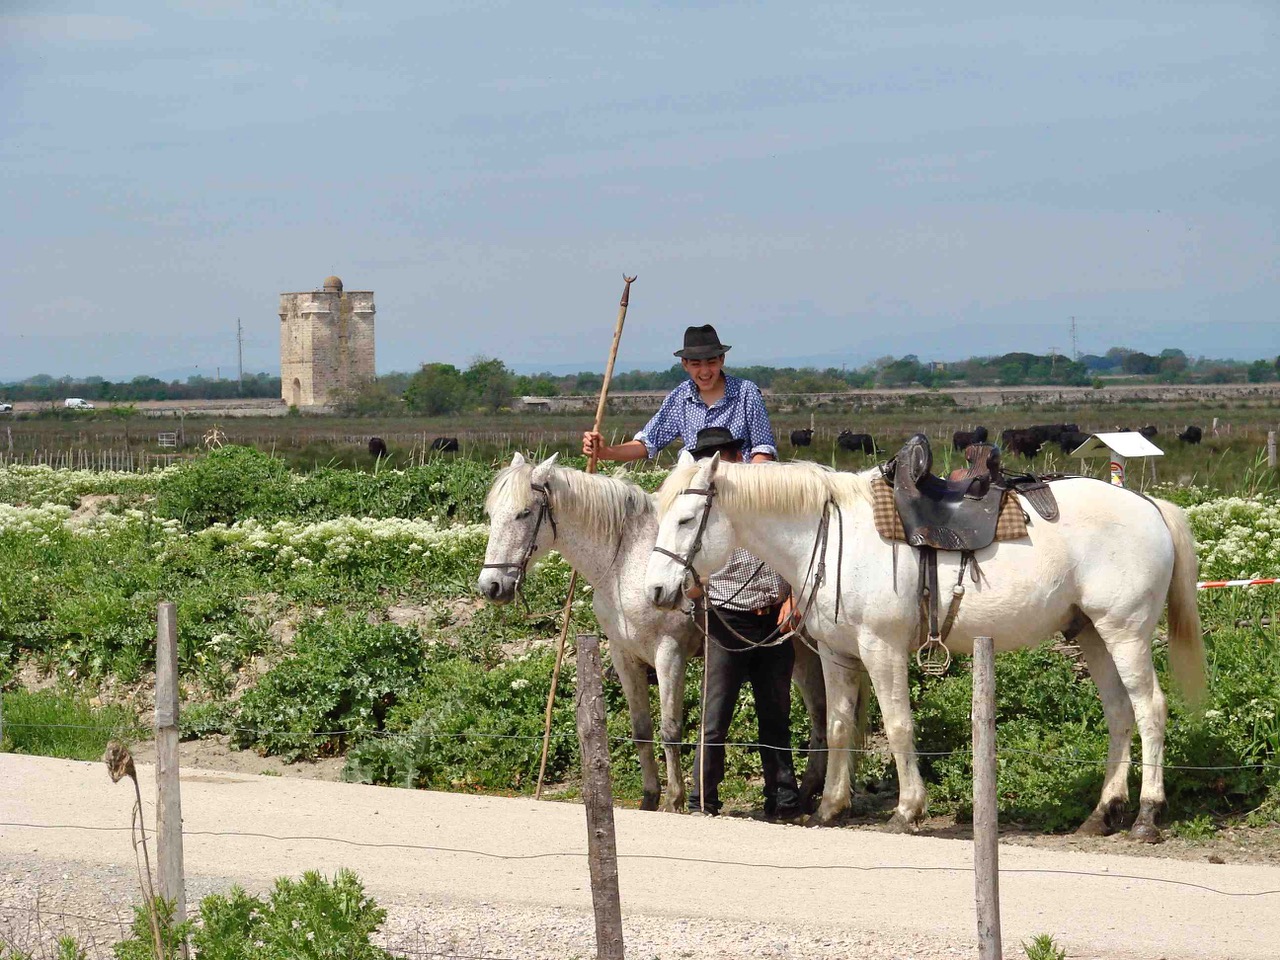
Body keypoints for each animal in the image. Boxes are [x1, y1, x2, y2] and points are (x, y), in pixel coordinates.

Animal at [476, 455, 855, 814]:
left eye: (524, 513)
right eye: (492, 514)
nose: (491, 586)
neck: (627, 561)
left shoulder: (669, 654)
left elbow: (670, 730)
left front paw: (674, 800)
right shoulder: (624, 657)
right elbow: (642, 730)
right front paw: (650, 797)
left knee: (820, 715)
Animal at [645, 455, 1203, 839]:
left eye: (687, 519)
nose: (656, 591)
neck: (829, 536)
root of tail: (1149, 507)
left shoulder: (882, 649)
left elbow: (897, 726)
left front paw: (908, 809)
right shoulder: (838, 655)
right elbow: (840, 726)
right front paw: (830, 807)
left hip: (1125, 631)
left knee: (1150, 709)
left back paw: (1147, 815)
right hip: (1093, 633)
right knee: (1119, 714)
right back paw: (1103, 812)